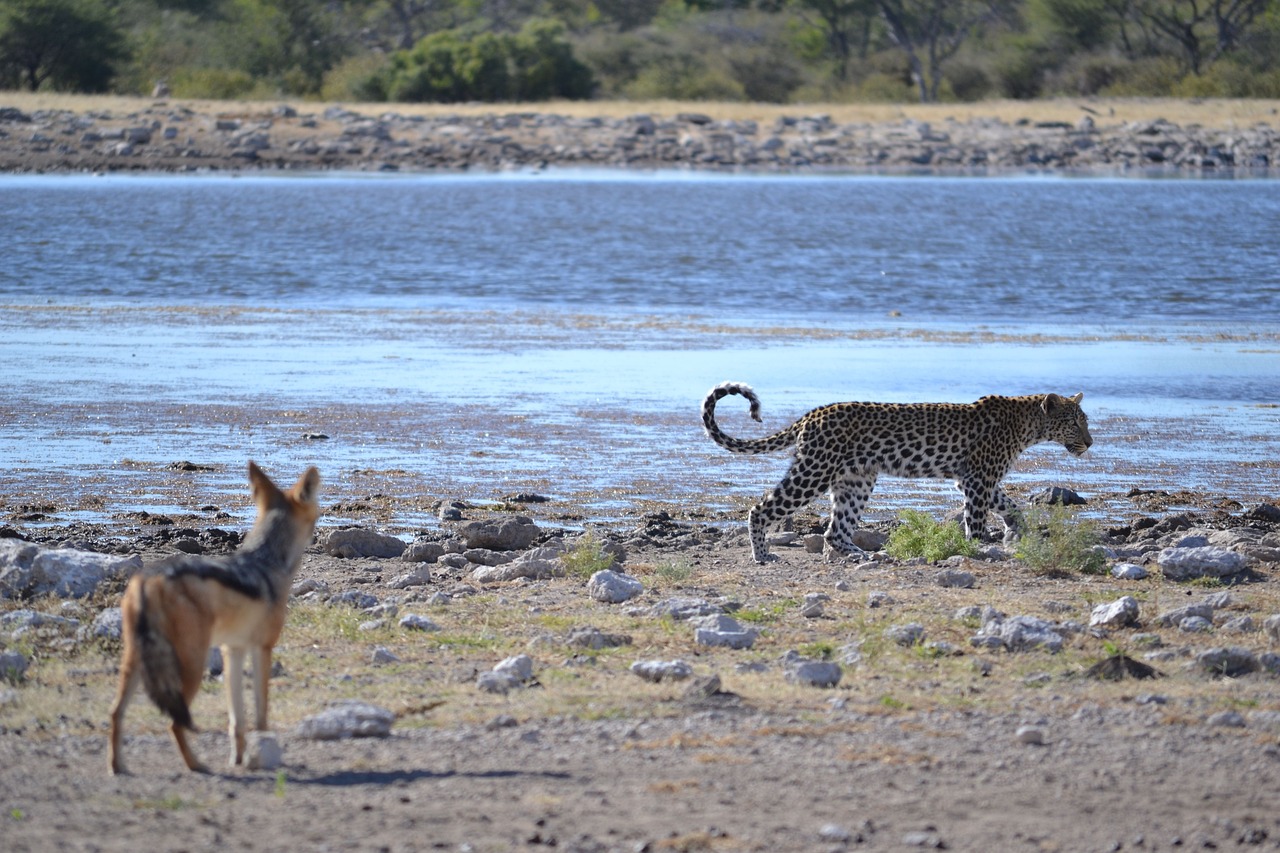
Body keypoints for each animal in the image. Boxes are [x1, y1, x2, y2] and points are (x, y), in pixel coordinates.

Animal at [701, 381, 1090, 560]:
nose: (1089, 443)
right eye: (1074, 423)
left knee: (835, 529)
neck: (1029, 425)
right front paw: (979, 547)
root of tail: (812, 414)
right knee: (761, 508)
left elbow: (1011, 505)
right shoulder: (978, 479)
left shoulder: (976, 479)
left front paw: (1014, 531)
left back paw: (862, 555)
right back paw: (762, 555)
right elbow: (977, 519)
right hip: (815, 470)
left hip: (856, 480)